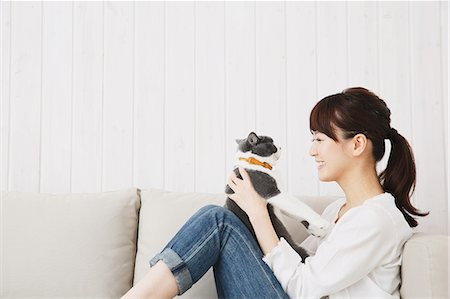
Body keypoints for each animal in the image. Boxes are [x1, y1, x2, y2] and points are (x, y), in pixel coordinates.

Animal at [225, 132, 330, 262]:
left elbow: (296, 211)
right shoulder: (272, 192)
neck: (254, 162)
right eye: (271, 143)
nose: (281, 147)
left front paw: (317, 230)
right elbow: (299, 206)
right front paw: (321, 222)